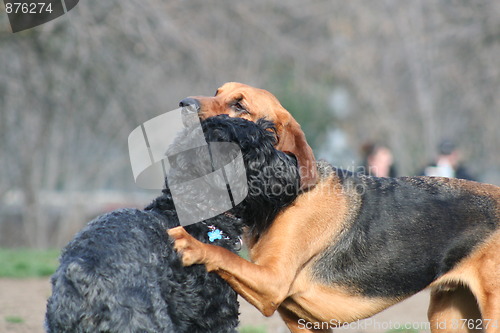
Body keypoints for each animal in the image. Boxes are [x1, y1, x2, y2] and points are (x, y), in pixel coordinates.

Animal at [170, 83, 498, 332]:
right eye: (217, 91)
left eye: (239, 105)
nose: (183, 103)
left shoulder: (271, 282)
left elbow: (223, 255)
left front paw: (188, 243)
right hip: (449, 315)